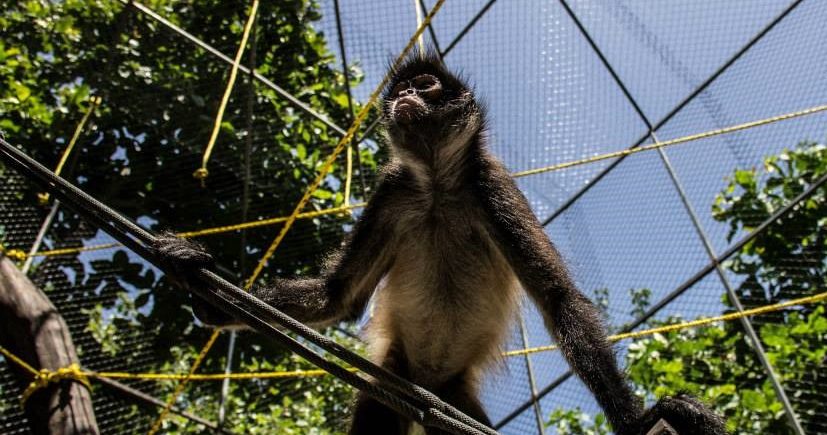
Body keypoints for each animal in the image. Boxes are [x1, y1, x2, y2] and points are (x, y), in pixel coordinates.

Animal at [154, 53, 727, 435]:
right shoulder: (395, 188)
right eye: (397, 93)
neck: (435, 187)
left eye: (426, 85)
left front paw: (637, 420)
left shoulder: (490, 186)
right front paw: (199, 281)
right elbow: (338, 296)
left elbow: (558, 299)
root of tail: (430, 380)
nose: (403, 99)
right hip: (391, 381)